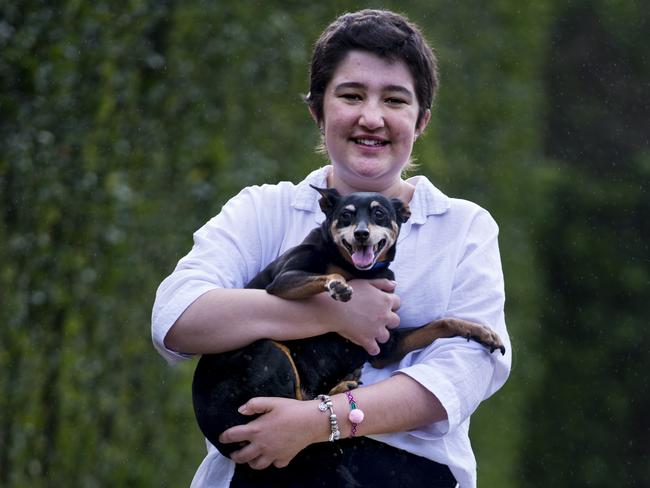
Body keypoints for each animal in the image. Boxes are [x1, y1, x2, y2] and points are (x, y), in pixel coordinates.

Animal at [190, 186, 504, 484]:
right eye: (345, 215)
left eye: (379, 214)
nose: (361, 233)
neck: (360, 272)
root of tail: (221, 439)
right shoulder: (283, 281)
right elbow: (329, 276)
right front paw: (337, 285)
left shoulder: (385, 346)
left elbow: (442, 323)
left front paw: (482, 332)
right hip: (269, 351)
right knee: (295, 400)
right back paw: (341, 388)